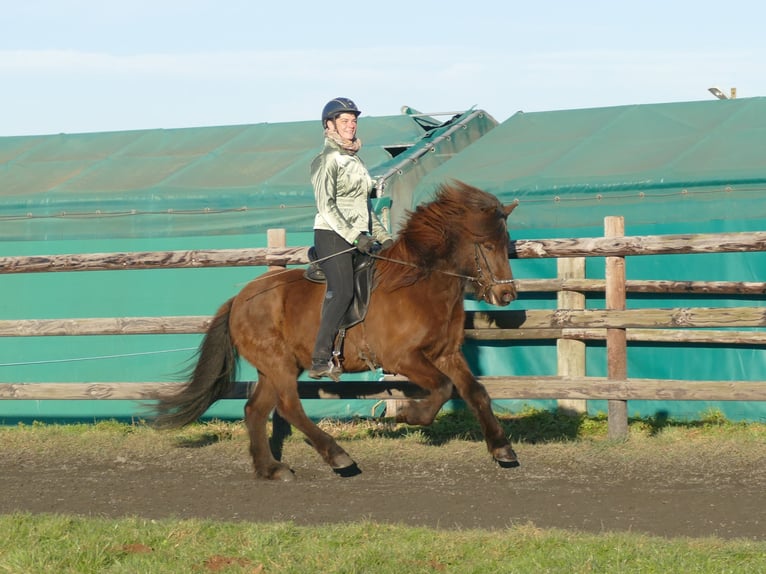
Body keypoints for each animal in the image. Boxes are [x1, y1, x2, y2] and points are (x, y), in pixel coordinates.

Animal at [156, 180, 524, 482]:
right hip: (279, 364)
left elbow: (475, 392)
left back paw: (271, 469)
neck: (420, 283)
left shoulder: (446, 354)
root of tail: (240, 298)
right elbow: (444, 387)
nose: (507, 295)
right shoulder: (402, 358)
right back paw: (338, 457)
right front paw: (410, 415)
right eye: (485, 245)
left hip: (275, 367)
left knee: (255, 410)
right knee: (288, 407)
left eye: (505, 242)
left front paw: (503, 450)